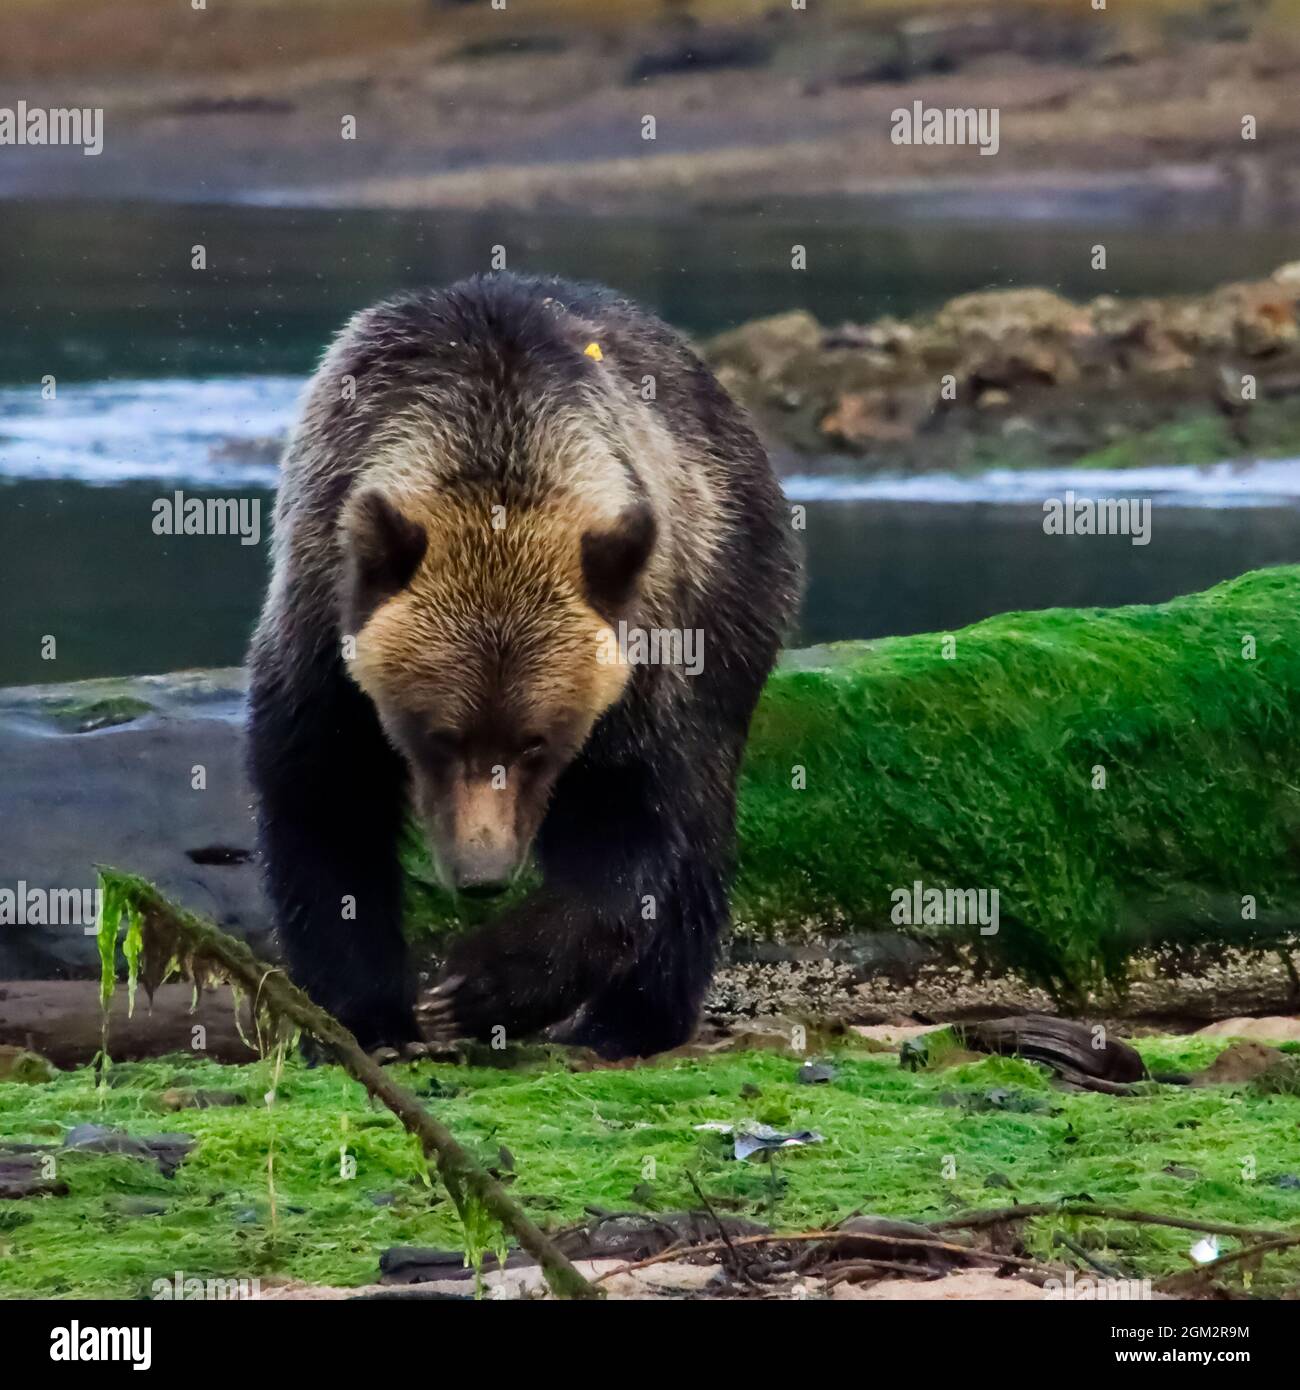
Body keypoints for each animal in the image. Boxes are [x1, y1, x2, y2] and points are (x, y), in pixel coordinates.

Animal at [243, 273, 795, 1050]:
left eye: (536, 741)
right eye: (439, 735)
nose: (483, 874)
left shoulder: (645, 652)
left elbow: (634, 825)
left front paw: (479, 986)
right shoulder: (321, 622)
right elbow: (323, 795)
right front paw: (368, 1009)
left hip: (733, 590)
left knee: (705, 817)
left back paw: (635, 1017)